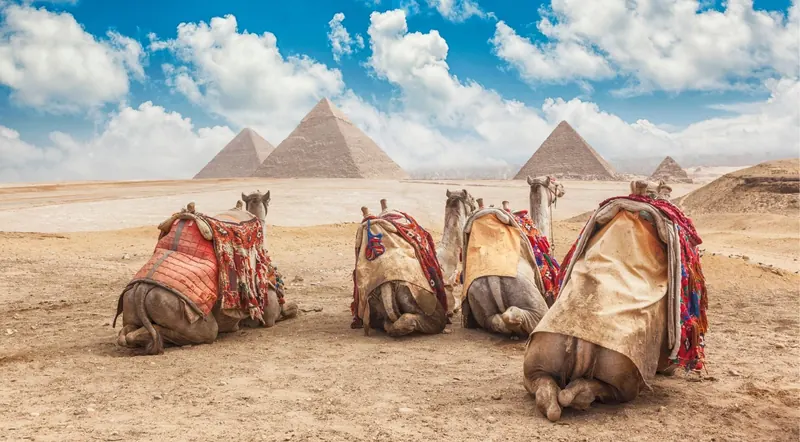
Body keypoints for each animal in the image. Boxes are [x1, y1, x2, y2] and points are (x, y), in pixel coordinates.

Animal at [114, 190, 297, 355]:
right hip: (179, 310)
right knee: (207, 331)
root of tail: (141, 290)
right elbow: (288, 310)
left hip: (131, 301)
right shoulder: (268, 311)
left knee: (126, 335)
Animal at [460, 176, 565, 337]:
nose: (563, 189)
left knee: (495, 320)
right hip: (533, 302)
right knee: (519, 316)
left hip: (478, 299)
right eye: (554, 183)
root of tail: (493, 280)